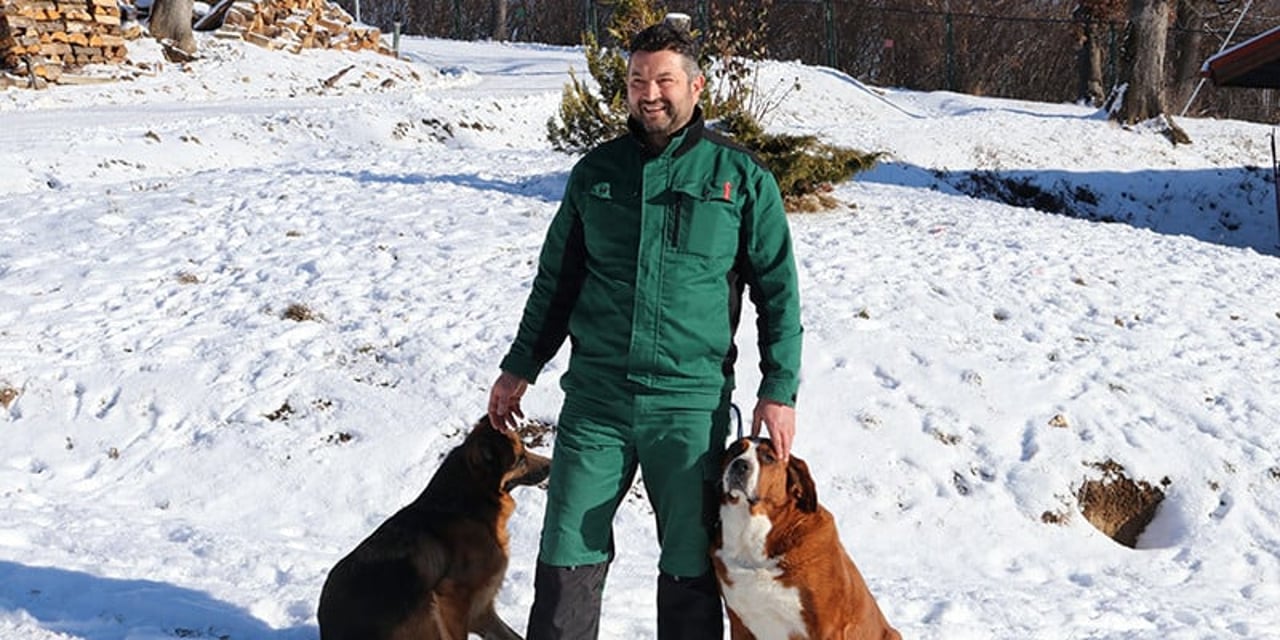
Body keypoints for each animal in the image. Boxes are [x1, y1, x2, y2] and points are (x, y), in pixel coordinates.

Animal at [320, 419, 550, 640]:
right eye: (520, 459)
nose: (550, 465)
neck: (469, 506)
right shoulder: (453, 596)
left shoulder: (482, 610)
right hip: (427, 606)